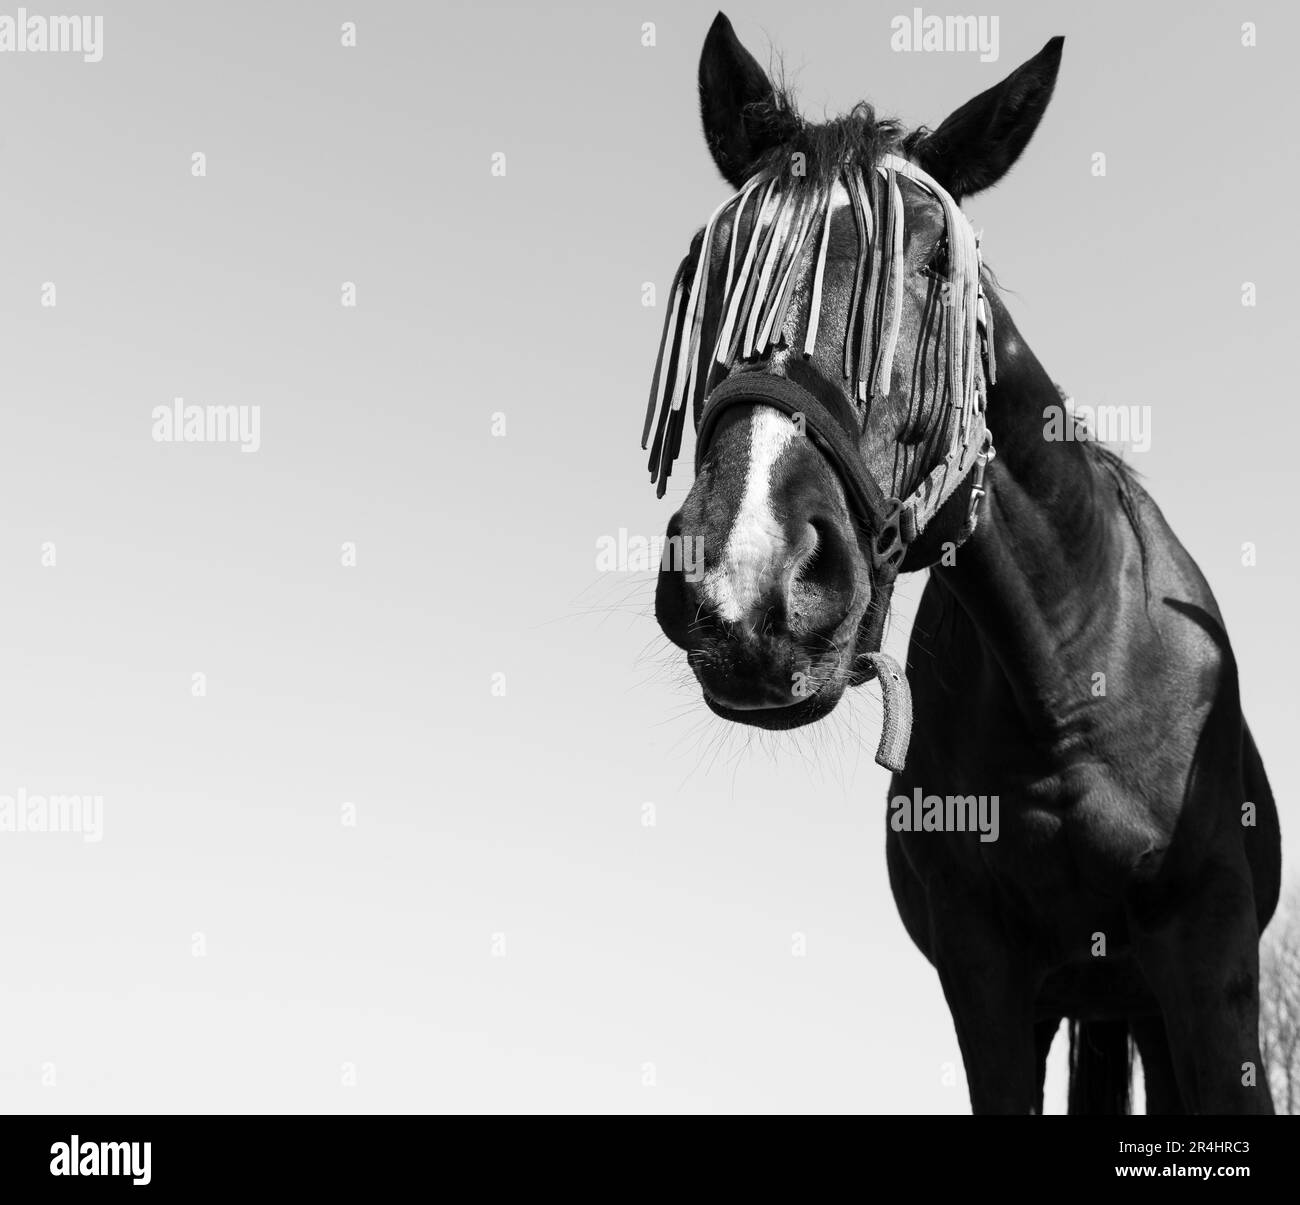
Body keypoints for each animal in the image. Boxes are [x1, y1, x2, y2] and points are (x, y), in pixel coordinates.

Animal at [644, 13, 1281, 1114]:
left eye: (937, 260)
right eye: (716, 266)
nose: (749, 580)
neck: (1070, 676)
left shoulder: (1210, 957)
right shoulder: (987, 978)